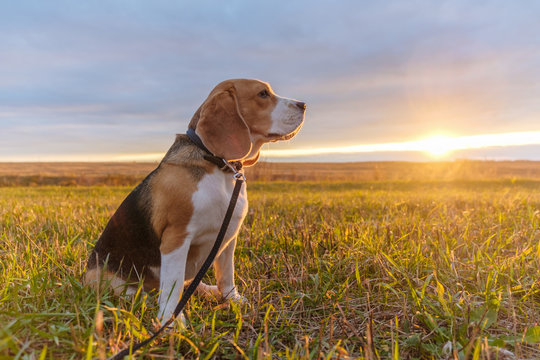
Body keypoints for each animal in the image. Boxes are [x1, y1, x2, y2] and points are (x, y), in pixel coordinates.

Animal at [83, 80, 304, 322]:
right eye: (263, 94)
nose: (303, 104)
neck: (217, 165)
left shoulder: (229, 235)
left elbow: (226, 275)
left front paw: (232, 299)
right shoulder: (176, 238)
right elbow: (173, 287)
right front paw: (171, 321)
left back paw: (208, 290)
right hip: (110, 280)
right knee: (139, 293)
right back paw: (148, 301)